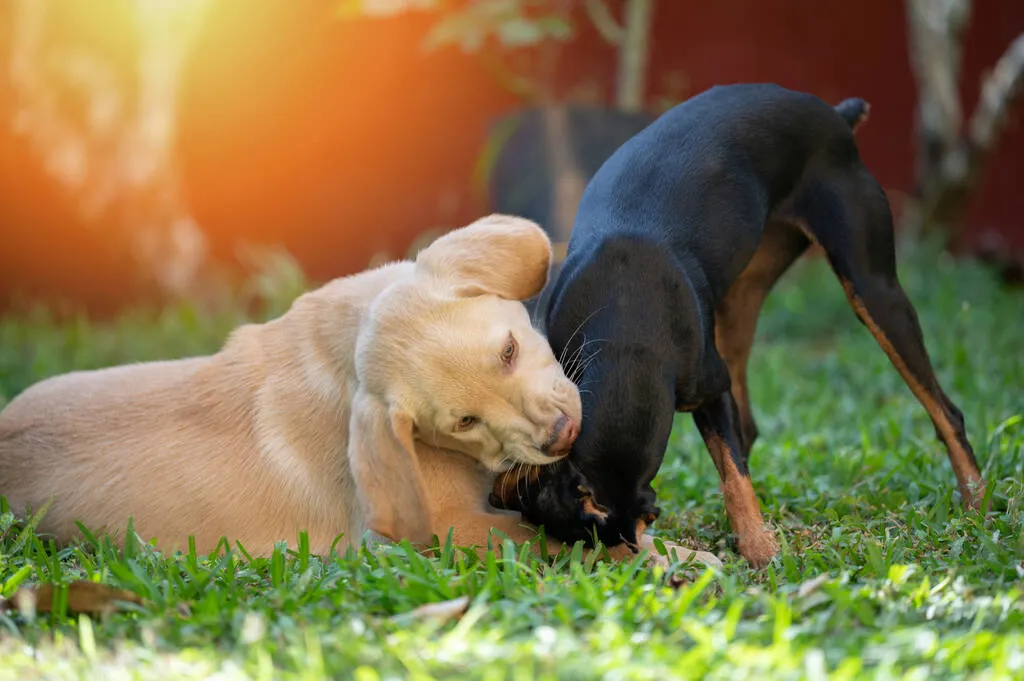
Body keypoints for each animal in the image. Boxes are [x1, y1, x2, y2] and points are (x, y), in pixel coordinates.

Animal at [0, 214, 720, 569]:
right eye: (463, 422)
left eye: (510, 351)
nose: (560, 437)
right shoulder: (451, 530)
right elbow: (554, 539)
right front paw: (674, 557)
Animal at [491, 82, 987, 565]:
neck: (625, 339)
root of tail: (835, 115)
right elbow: (734, 460)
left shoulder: (711, 388)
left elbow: (733, 471)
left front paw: (759, 549)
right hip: (739, 302)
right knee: (749, 425)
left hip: (872, 288)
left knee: (947, 411)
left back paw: (977, 506)